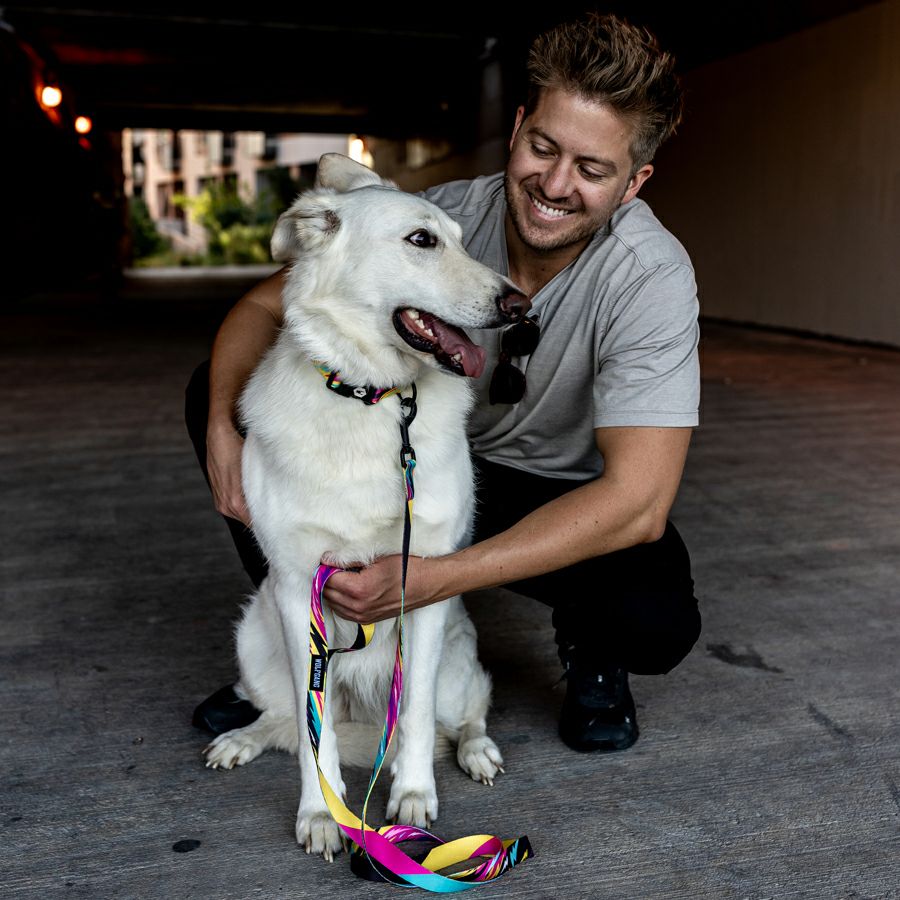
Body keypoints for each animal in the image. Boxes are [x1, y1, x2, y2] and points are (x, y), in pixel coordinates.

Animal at [202, 155, 528, 864]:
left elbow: (415, 718)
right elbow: (311, 732)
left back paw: (476, 750)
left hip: (460, 654)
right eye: (421, 241)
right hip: (255, 639)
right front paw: (322, 813)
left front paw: (411, 796)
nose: (520, 305)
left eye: (462, 240)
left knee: (465, 712)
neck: (373, 398)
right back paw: (243, 737)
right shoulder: (299, 591)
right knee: (281, 719)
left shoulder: (424, 585)